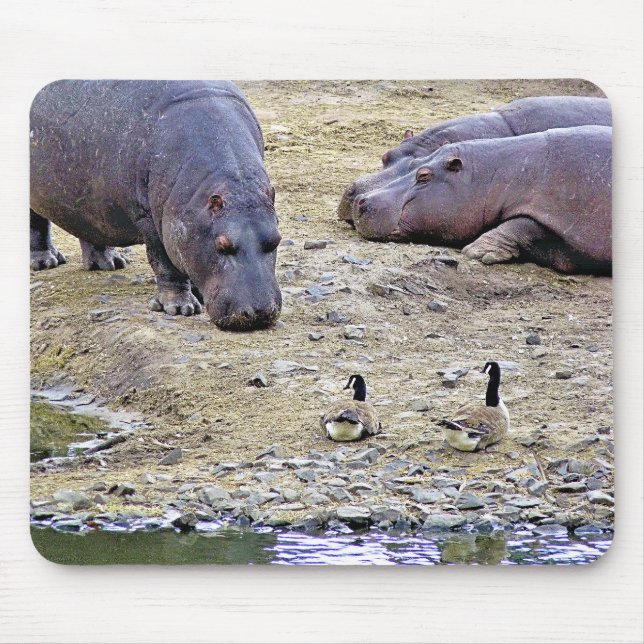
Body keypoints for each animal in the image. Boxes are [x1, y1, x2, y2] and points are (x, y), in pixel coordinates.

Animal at [30, 80, 282, 330]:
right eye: (222, 245)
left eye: (276, 240)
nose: (259, 313)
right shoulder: (150, 220)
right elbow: (165, 263)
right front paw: (180, 309)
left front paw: (197, 296)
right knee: (36, 224)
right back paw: (46, 262)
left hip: (87, 194)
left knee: (89, 224)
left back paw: (110, 264)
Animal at [355, 125, 611, 274]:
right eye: (416, 163)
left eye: (424, 176)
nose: (360, 199)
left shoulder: (569, 214)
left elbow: (522, 225)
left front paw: (476, 251)